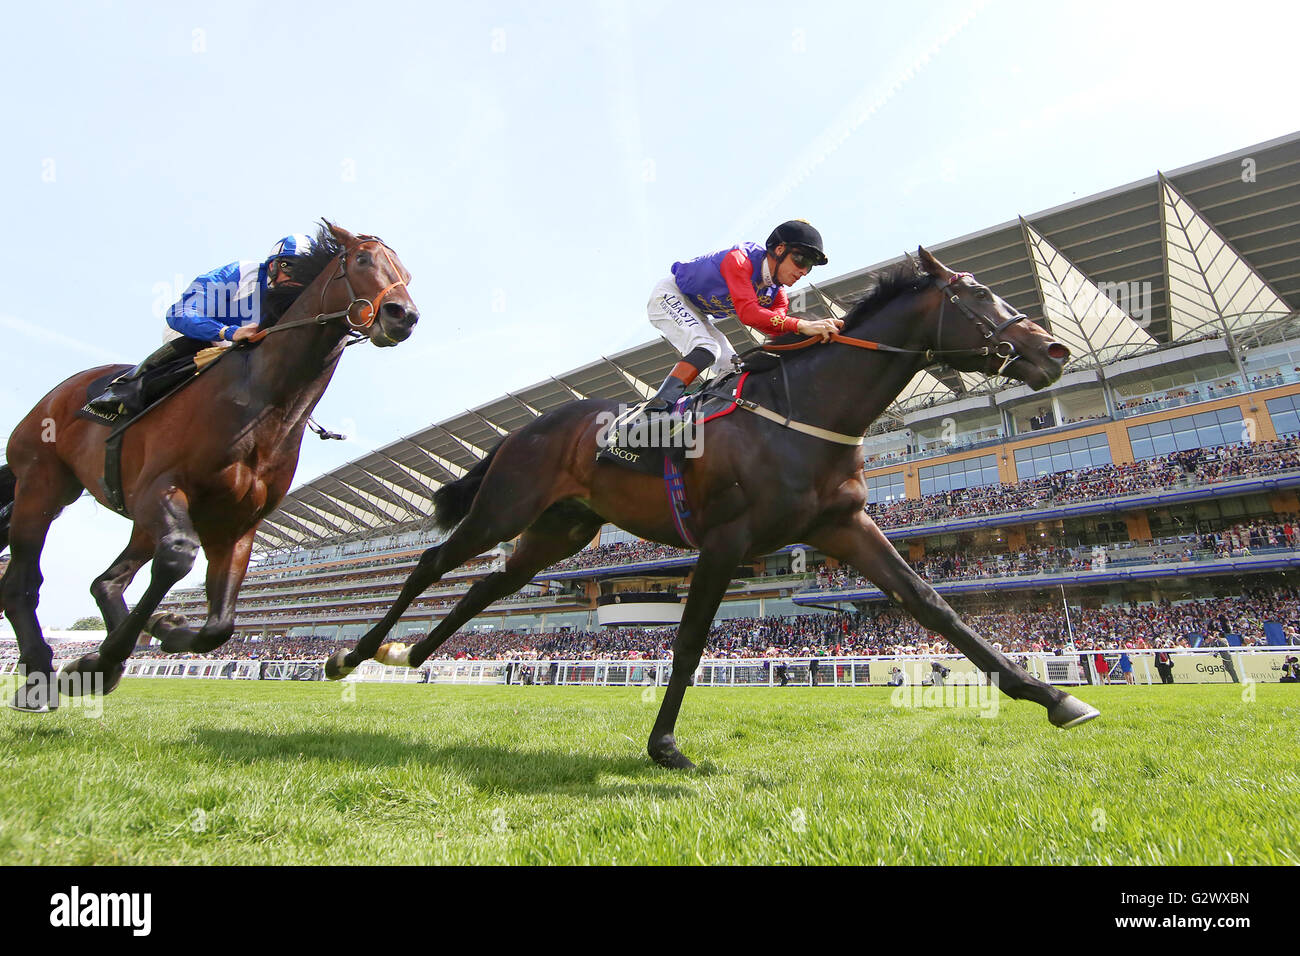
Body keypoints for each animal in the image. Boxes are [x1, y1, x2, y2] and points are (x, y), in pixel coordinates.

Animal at [0, 221, 416, 707]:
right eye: (363, 260)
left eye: (406, 272)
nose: (403, 315)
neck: (263, 400)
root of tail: (59, 392)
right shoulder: (160, 488)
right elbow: (178, 559)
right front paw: (106, 656)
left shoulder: (237, 522)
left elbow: (220, 626)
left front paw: (156, 630)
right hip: (42, 484)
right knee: (21, 581)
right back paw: (40, 671)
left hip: (131, 517)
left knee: (107, 582)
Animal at [325, 248, 1097, 770]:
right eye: (979, 294)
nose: (1055, 349)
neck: (805, 413)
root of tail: (525, 428)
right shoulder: (727, 541)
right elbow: (691, 639)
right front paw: (665, 744)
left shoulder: (844, 526)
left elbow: (933, 605)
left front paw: (1056, 697)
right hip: (505, 506)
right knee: (433, 562)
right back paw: (353, 654)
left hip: (559, 528)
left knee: (486, 585)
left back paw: (409, 652)